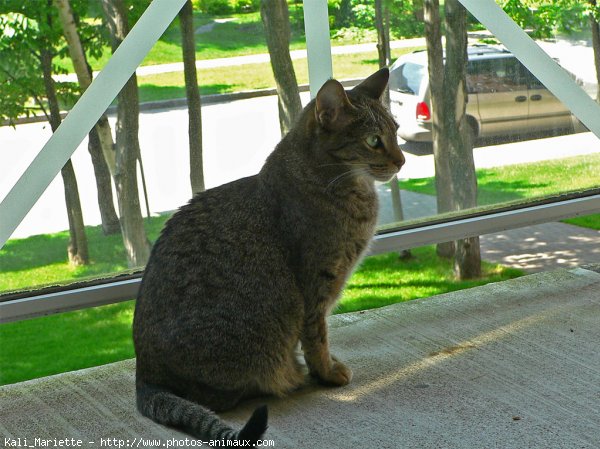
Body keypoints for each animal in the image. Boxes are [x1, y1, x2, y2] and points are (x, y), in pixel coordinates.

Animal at [134, 68, 406, 442]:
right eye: (374, 141)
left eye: (396, 131)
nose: (402, 160)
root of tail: (143, 377)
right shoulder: (316, 285)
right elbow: (317, 337)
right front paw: (326, 372)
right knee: (218, 397)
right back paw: (289, 377)